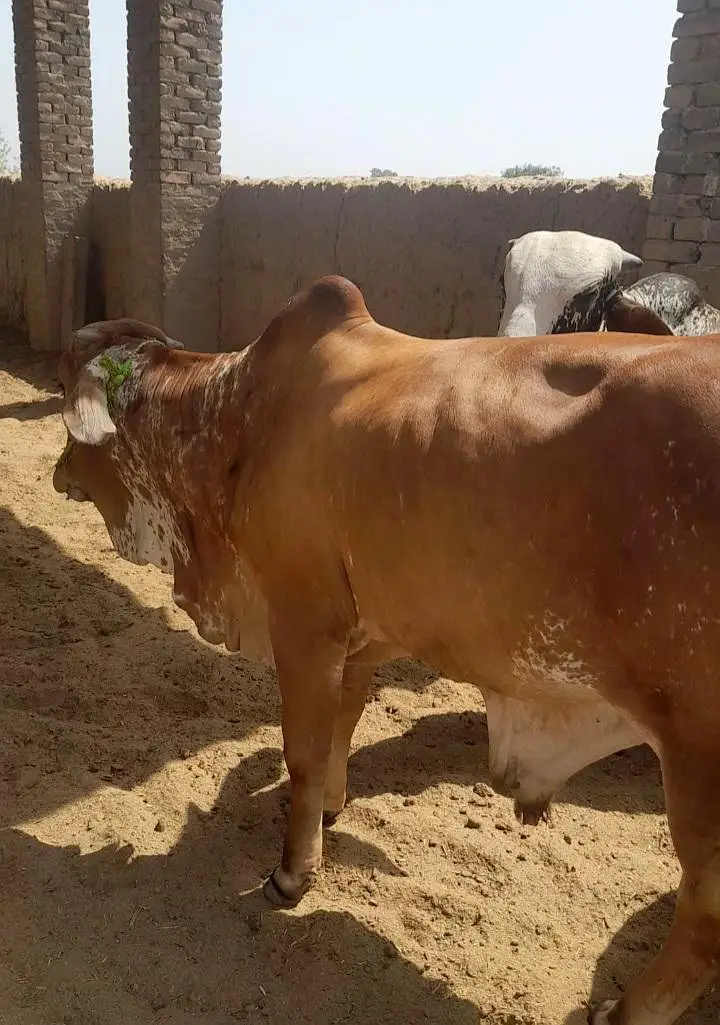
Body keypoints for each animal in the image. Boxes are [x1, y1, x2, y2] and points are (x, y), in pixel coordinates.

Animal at [53, 281, 720, 1025]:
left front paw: (293, 872)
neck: (239, 419)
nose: (56, 472)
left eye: (64, 400)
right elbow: (342, 726)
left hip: (698, 756)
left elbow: (304, 747)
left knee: (705, 919)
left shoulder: (303, 621)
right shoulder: (360, 635)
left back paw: (624, 1010)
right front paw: (330, 807)